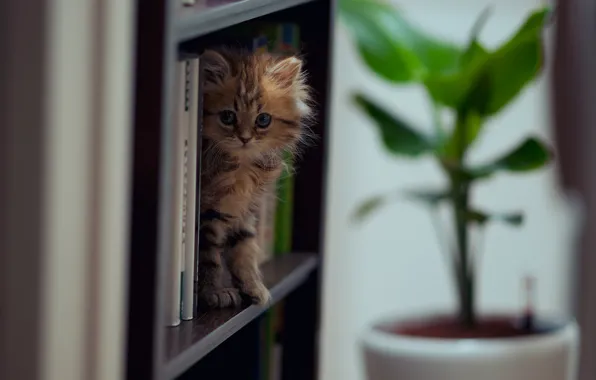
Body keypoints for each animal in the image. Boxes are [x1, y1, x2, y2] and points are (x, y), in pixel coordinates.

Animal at [198, 47, 314, 308]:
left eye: (263, 120)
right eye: (228, 117)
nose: (245, 138)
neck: (240, 167)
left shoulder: (245, 210)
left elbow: (245, 249)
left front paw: (253, 286)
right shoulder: (206, 212)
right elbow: (208, 257)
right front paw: (212, 292)